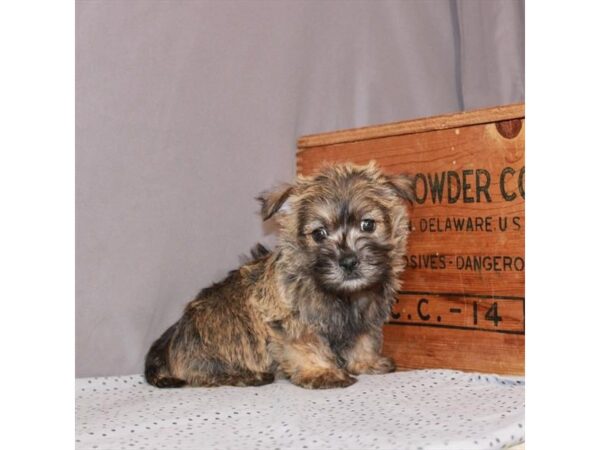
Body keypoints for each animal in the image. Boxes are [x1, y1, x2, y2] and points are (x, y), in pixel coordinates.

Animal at [144, 163, 412, 390]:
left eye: (368, 225)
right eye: (319, 234)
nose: (348, 261)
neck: (340, 294)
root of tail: (171, 341)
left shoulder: (364, 317)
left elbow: (363, 338)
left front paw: (367, 362)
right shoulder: (290, 320)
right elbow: (306, 344)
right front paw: (322, 372)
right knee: (202, 374)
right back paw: (249, 375)